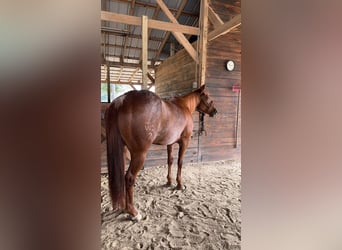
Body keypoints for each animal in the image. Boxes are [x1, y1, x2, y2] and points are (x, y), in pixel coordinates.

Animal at [105, 84, 216, 221]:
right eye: (208, 96)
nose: (215, 111)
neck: (184, 106)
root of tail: (123, 100)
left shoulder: (170, 143)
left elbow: (170, 161)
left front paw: (169, 182)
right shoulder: (184, 142)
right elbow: (180, 162)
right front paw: (179, 184)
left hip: (123, 151)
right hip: (139, 154)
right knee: (129, 178)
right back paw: (133, 212)